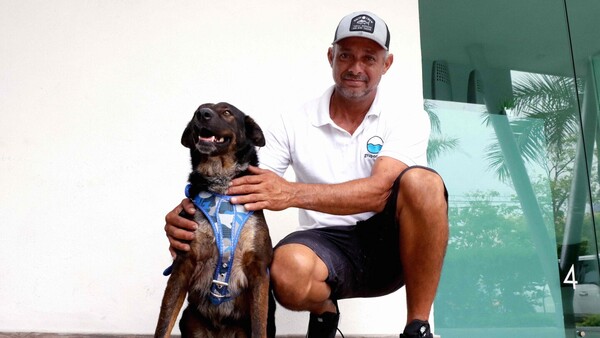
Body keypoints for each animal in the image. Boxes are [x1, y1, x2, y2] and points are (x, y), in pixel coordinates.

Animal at [156, 102, 276, 338]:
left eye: (227, 112)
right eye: (198, 109)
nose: (202, 114)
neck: (221, 187)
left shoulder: (259, 271)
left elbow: (259, 327)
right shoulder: (182, 266)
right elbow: (163, 324)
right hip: (189, 318)